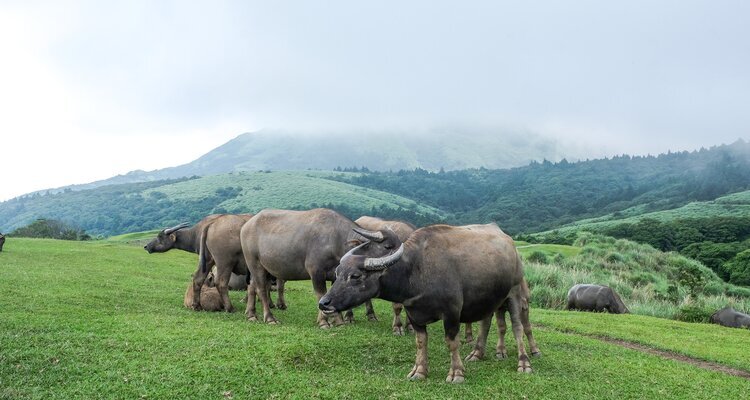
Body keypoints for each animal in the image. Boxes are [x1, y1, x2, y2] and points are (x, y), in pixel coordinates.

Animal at [319, 223, 532, 383]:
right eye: (337, 273)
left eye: (355, 276)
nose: (324, 303)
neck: (417, 270)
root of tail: (510, 243)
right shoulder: (413, 314)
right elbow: (420, 342)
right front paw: (419, 371)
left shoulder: (452, 313)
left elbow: (452, 342)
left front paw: (456, 373)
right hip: (488, 298)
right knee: (486, 324)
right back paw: (477, 354)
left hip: (514, 293)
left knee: (517, 327)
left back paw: (524, 362)